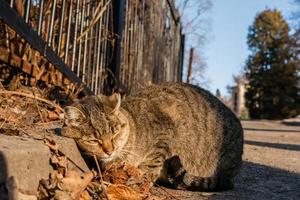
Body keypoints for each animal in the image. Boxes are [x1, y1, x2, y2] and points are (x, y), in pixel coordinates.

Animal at [62, 82, 243, 191]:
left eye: (115, 133)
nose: (109, 150)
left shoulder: (165, 135)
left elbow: (151, 165)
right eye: (93, 140)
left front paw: (139, 179)